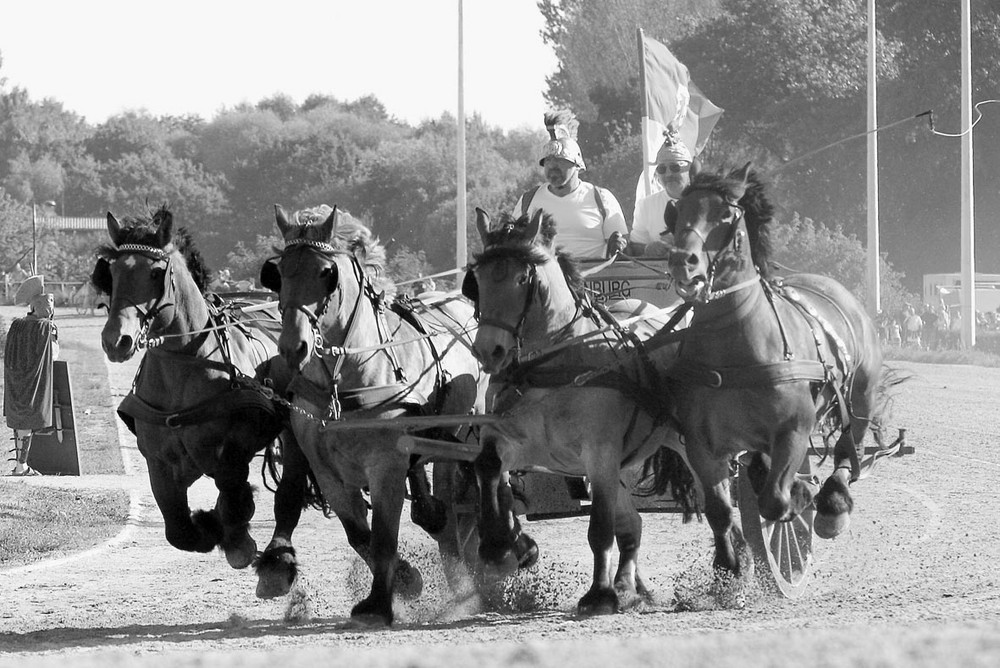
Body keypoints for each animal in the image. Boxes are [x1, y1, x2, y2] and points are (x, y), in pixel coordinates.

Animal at [94, 206, 314, 596]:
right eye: (114, 272)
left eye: (156, 273)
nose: (115, 340)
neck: (185, 366)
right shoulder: (158, 463)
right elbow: (177, 529)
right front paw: (210, 526)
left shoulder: (233, 447)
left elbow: (233, 491)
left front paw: (237, 539)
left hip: (294, 429)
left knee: (288, 491)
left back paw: (277, 562)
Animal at [256, 204, 500, 628]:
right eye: (280, 271)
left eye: (327, 273)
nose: (293, 346)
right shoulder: (329, 474)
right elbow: (360, 535)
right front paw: (404, 578)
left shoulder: (386, 466)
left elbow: (385, 536)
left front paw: (379, 604)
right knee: (444, 517)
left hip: (465, 434)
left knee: (466, 497)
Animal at [462, 207, 692, 616]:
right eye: (478, 280)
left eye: (522, 278)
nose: (489, 351)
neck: (552, 363)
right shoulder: (513, 441)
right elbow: (489, 471)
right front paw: (504, 546)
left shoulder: (599, 452)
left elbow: (599, 528)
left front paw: (599, 595)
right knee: (631, 525)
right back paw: (628, 585)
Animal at [660, 163, 888, 580]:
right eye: (678, 210)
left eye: (725, 214)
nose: (683, 261)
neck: (735, 350)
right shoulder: (701, 445)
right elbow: (719, 511)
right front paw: (730, 567)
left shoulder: (793, 430)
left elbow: (775, 501)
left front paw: (802, 495)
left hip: (861, 397)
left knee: (848, 454)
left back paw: (832, 506)